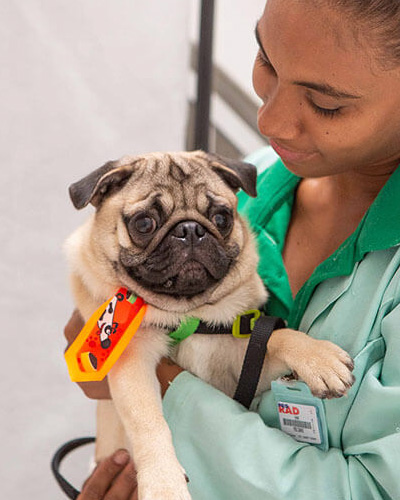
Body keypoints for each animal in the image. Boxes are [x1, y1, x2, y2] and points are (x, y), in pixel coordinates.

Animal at [65, 150, 354, 500]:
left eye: (221, 218)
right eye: (144, 223)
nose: (190, 230)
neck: (186, 317)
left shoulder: (239, 364)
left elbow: (279, 336)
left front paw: (319, 359)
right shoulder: (132, 362)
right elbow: (149, 423)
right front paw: (163, 483)